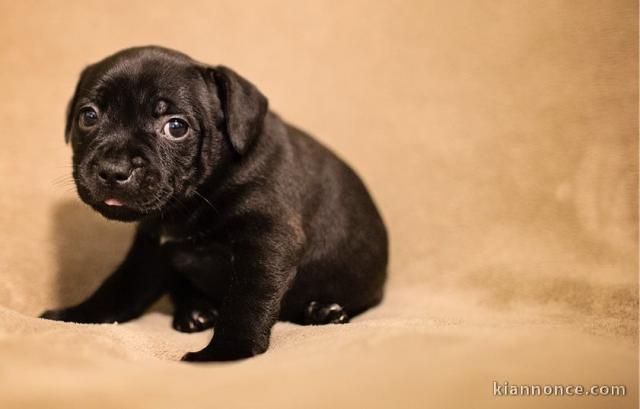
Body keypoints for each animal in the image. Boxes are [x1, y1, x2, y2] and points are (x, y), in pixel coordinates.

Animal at [42, 46, 390, 362]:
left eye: (176, 127)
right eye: (88, 116)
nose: (114, 169)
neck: (190, 202)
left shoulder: (267, 242)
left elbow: (246, 301)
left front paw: (226, 353)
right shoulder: (150, 251)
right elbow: (119, 289)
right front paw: (75, 316)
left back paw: (325, 311)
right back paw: (195, 311)